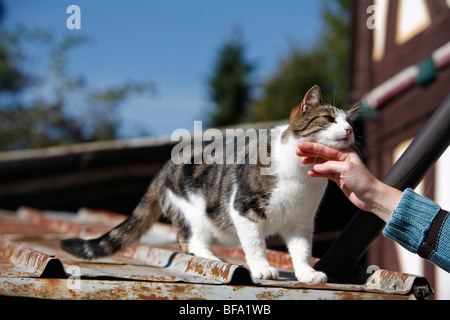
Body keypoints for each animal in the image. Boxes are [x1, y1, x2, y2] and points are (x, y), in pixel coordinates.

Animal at [61, 85, 360, 284]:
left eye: (350, 123)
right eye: (328, 119)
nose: (348, 130)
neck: (301, 174)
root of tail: (164, 167)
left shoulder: (301, 221)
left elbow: (301, 250)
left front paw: (307, 273)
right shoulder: (244, 209)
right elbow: (255, 244)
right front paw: (262, 268)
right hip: (193, 213)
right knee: (190, 240)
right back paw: (214, 260)